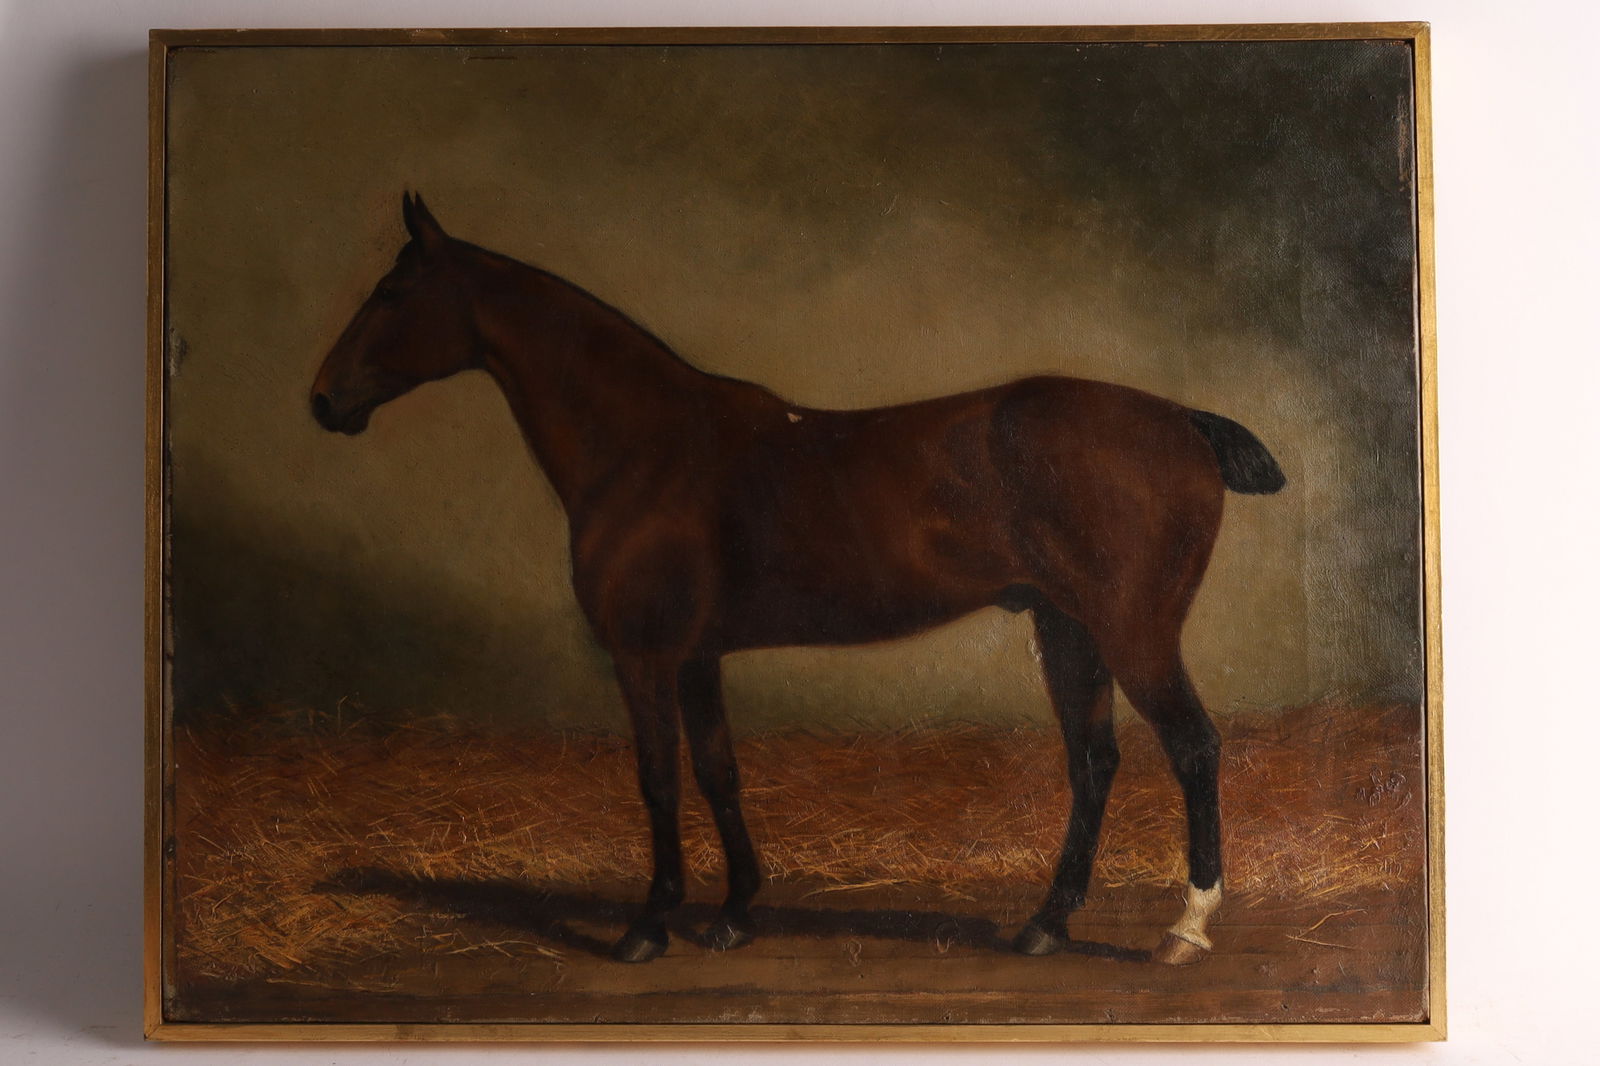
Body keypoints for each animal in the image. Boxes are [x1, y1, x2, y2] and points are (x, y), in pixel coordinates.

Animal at [310, 193, 1285, 965]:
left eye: (391, 293)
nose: (322, 399)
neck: (647, 448)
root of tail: (1181, 420)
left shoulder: (644, 655)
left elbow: (657, 776)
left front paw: (649, 925)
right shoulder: (696, 656)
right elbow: (717, 770)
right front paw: (735, 911)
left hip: (1132, 630)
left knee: (1192, 747)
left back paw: (1185, 929)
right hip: (1065, 627)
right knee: (1094, 761)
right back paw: (1044, 924)